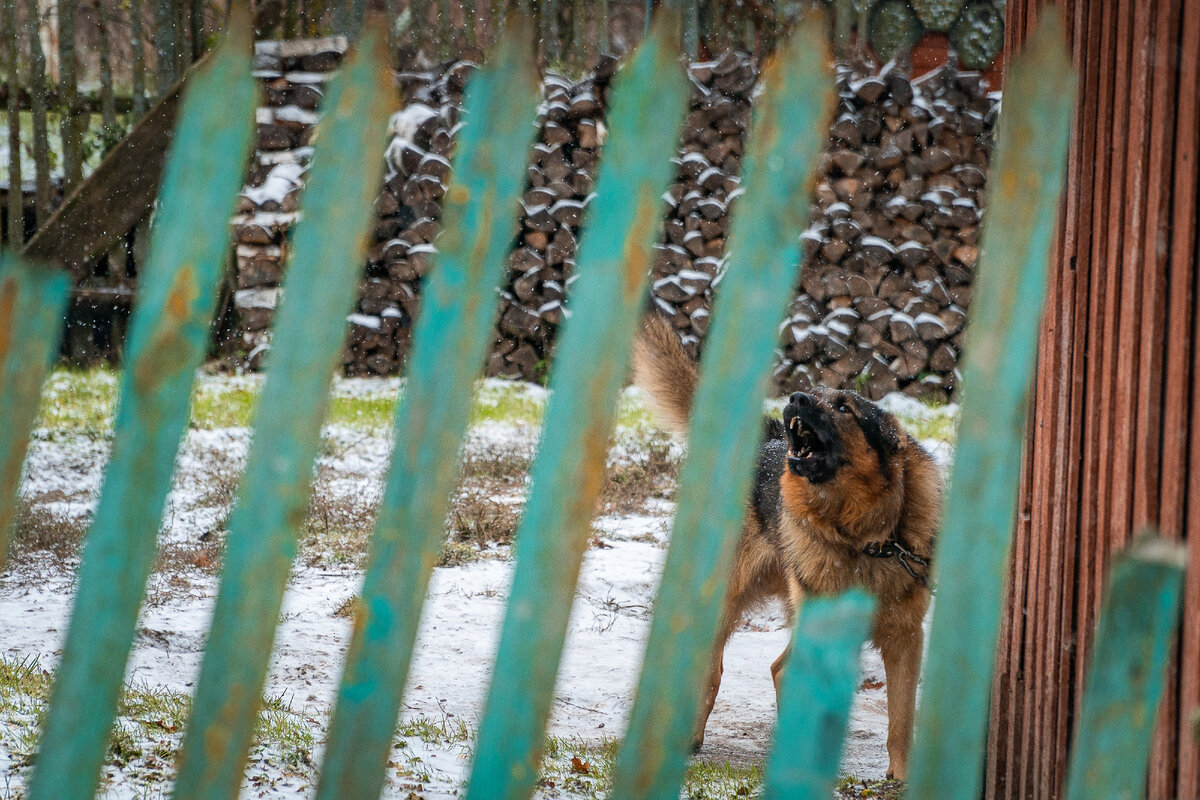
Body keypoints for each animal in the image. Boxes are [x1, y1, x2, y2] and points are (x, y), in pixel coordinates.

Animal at [633, 316, 940, 777]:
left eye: (844, 407)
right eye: (812, 393)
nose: (794, 398)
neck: (863, 539)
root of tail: (767, 438)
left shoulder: (905, 640)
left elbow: (902, 719)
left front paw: (902, 778)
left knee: (778, 668)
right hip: (726, 599)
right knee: (715, 668)